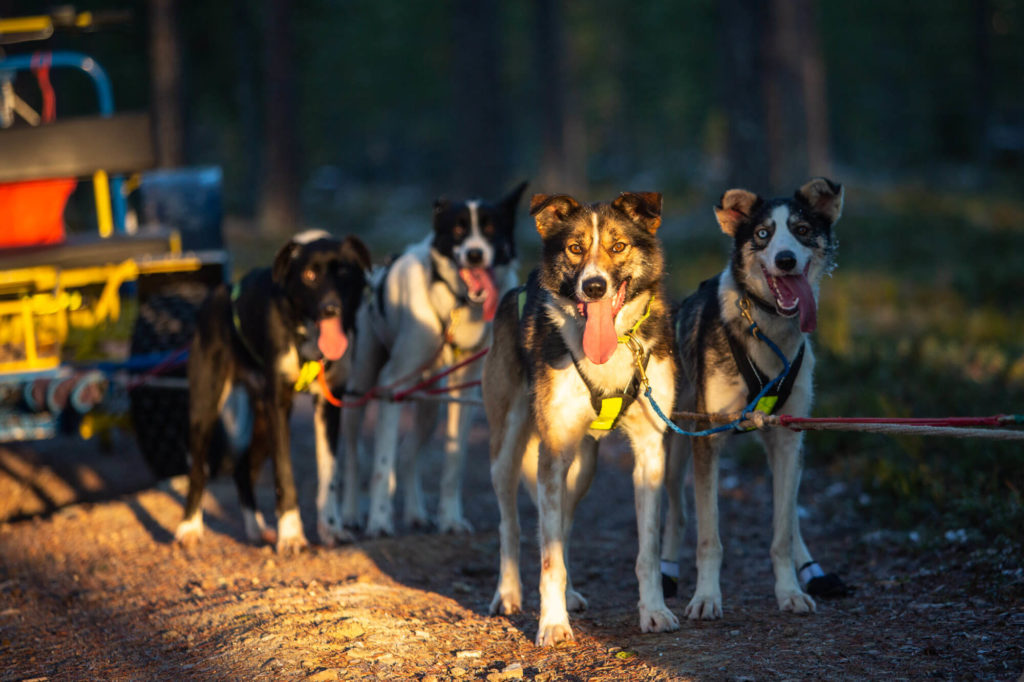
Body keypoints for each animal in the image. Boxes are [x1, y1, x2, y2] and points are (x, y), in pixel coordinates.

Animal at [176, 228, 372, 552]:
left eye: (344, 272)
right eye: (309, 275)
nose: (330, 309)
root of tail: (217, 294)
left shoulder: (328, 405)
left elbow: (329, 475)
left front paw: (331, 528)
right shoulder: (279, 404)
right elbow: (284, 474)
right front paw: (291, 535)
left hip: (263, 418)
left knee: (242, 470)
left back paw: (255, 527)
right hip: (206, 407)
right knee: (198, 472)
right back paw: (189, 527)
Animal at [342, 180, 524, 536]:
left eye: (491, 229)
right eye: (458, 229)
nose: (475, 254)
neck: (456, 306)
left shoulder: (464, 395)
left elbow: (453, 462)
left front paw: (450, 518)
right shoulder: (392, 388)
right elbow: (382, 466)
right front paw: (379, 521)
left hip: (430, 404)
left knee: (408, 455)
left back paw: (416, 513)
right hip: (361, 388)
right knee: (355, 458)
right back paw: (351, 513)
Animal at [481, 189, 679, 643]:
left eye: (618, 246)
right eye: (574, 248)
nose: (593, 286)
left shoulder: (650, 452)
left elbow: (647, 550)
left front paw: (654, 610)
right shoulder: (552, 452)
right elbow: (548, 557)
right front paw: (552, 624)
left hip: (583, 464)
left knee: (564, 528)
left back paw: (568, 593)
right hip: (507, 448)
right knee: (512, 525)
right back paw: (508, 593)